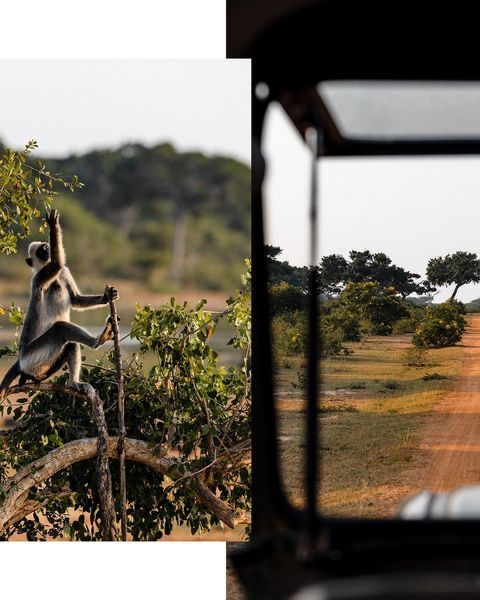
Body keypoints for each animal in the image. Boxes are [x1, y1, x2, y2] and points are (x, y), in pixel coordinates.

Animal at [0, 209, 119, 400]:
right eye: (42, 251)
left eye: (46, 247)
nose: (48, 249)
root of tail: (20, 360)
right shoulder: (40, 277)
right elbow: (57, 263)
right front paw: (53, 225)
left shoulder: (64, 271)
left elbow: (75, 298)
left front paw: (107, 296)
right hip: (32, 358)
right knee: (61, 328)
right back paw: (97, 341)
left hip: (44, 363)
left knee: (70, 344)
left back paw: (70, 383)